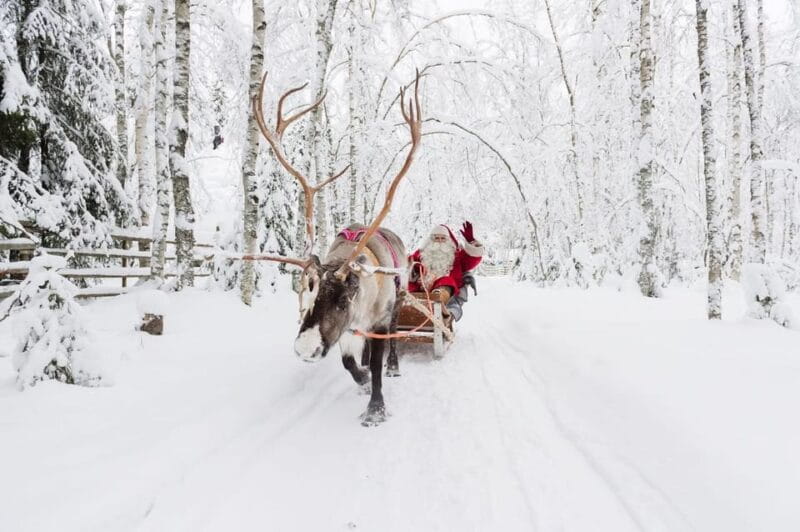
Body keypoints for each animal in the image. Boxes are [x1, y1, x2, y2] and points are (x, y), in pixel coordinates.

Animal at [247, 70, 423, 426]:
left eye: (342, 300)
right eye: (306, 295)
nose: (305, 350)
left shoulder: (376, 319)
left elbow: (379, 362)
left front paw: (375, 408)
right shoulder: (346, 330)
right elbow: (348, 363)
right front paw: (362, 377)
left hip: (400, 298)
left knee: (394, 337)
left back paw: (393, 366)